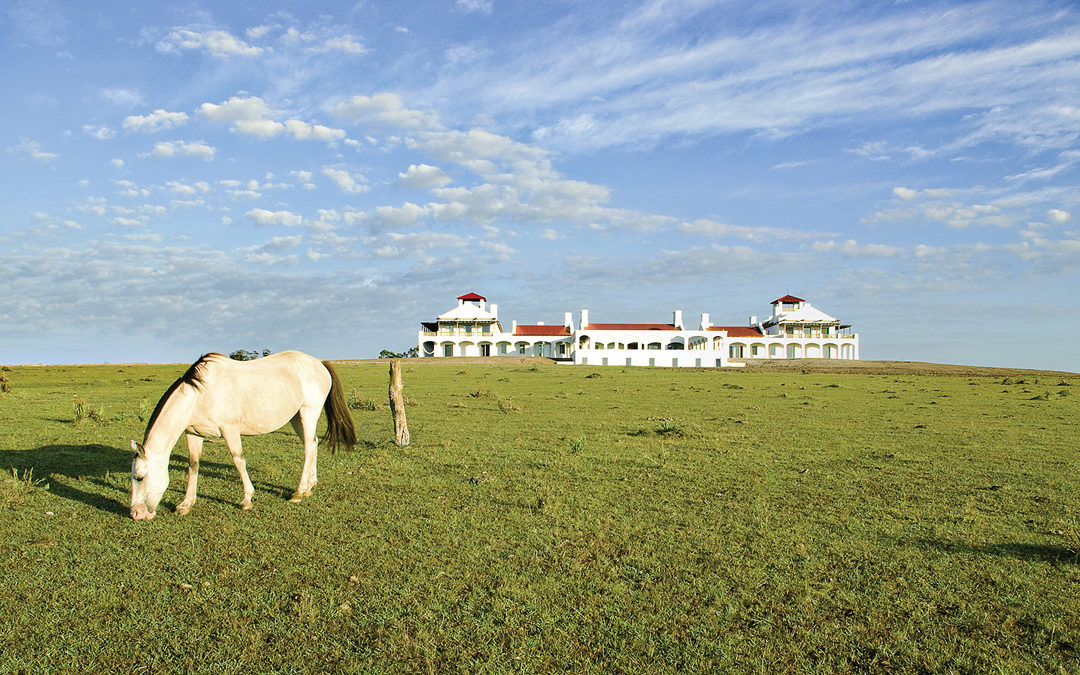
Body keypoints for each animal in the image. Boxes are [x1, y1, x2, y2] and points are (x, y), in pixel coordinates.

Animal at [128, 349, 352, 518]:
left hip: (308, 414)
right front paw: (186, 503)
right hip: (297, 418)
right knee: (313, 443)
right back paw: (310, 486)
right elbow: (193, 465)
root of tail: (319, 364)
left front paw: (247, 499)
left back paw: (298, 491)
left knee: (307, 449)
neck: (201, 395)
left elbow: (238, 460)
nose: (136, 514)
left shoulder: (229, 429)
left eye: (139, 477)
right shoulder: (193, 433)